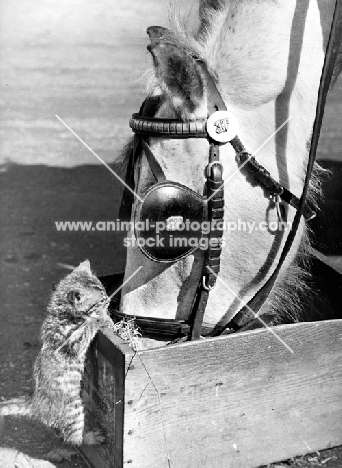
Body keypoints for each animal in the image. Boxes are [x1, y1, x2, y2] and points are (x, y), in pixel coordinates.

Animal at [0, 260, 111, 446]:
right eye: (101, 298)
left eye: (104, 290)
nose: (109, 299)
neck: (61, 313)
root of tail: (35, 404)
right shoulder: (72, 341)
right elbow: (88, 326)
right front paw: (100, 318)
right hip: (74, 409)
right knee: (72, 438)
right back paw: (91, 438)